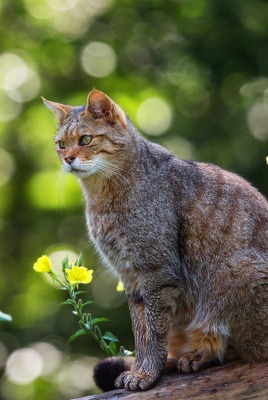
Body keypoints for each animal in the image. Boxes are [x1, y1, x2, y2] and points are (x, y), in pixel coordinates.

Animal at [43, 90, 268, 390]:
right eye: (61, 144)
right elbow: (141, 332)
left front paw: (146, 374)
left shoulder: (156, 273)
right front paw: (139, 369)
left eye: (86, 140)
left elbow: (154, 332)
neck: (102, 197)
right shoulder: (131, 278)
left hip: (236, 272)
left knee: (243, 350)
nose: (67, 158)